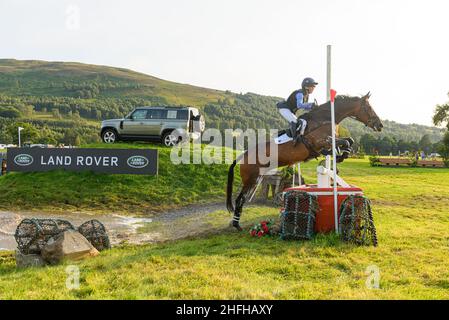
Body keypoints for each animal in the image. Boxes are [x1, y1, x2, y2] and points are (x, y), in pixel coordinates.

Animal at [226, 92, 384, 230]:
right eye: (368, 107)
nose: (380, 125)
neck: (326, 119)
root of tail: (244, 155)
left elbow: (348, 141)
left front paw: (341, 155)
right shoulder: (320, 141)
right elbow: (342, 142)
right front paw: (337, 154)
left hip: (256, 178)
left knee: (242, 199)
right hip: (250, 179)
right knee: (240, 199)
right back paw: (236, 225)